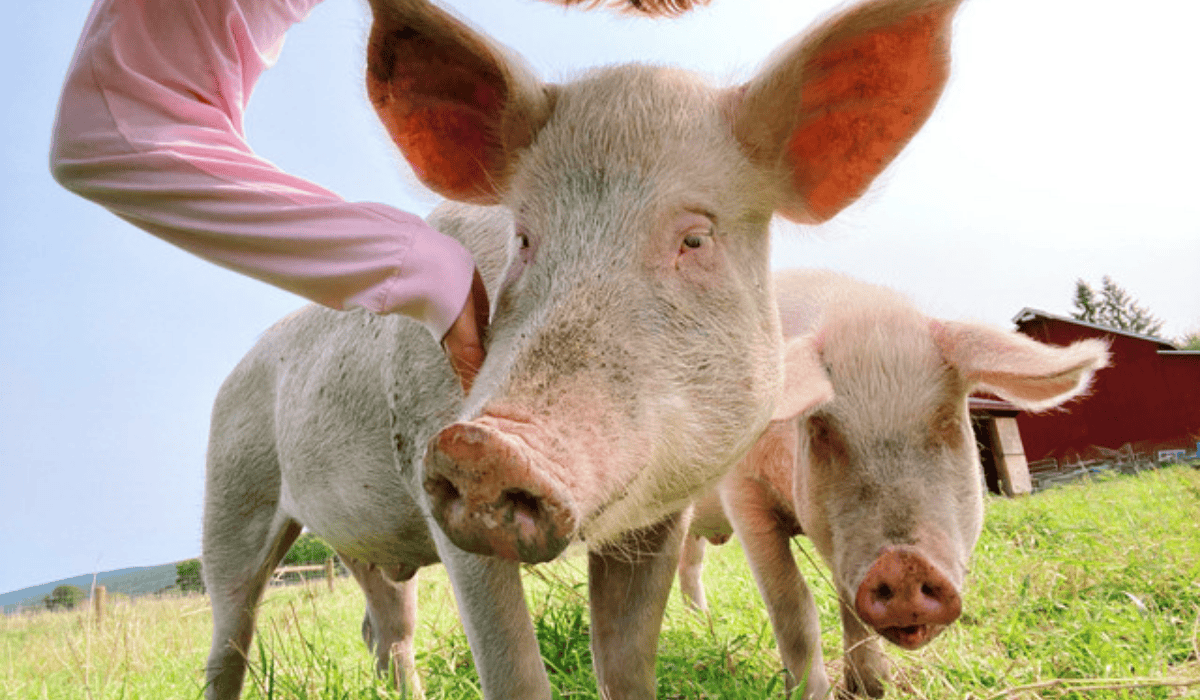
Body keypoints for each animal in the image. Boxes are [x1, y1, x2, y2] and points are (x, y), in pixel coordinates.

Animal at [203, 0, 967, 696]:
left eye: (695, 238)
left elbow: (626, 662)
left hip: (359, 548)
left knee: (383, 626)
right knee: (231, 634)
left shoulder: (663, 515)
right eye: (524, 239)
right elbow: (513, 671)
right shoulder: (434, 477)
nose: (488, 445)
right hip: (232, 495)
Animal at [676, 269, 1110, 698]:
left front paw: (871, 688)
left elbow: (846, 599)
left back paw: (701, 625)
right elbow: (792, 603)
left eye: (947, 420)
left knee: (689, 565)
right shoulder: (742, 491)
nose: (904, 565)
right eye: (820, 429)